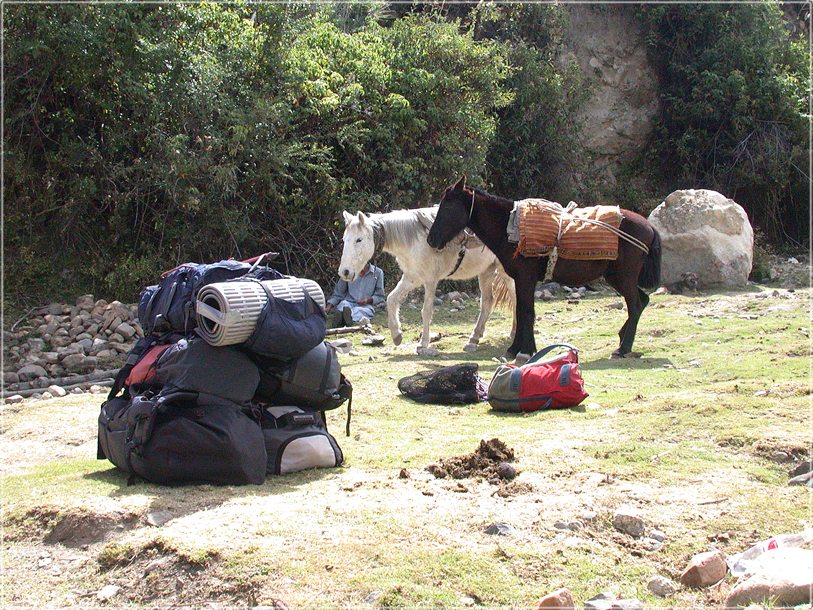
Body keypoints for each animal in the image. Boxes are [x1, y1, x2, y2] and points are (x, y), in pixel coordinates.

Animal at [339, 208, 515, 355]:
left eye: (359, 240)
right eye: (344, 239)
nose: (344, 272)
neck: (415, 241)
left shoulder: (430, 280)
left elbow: (426, 311)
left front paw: (423, 344)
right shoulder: (411, 278)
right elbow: (391, 299)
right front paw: (397, 335)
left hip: (506, 272)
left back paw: (513, 333)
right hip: (487, 271)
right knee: (488, 301)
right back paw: (474, 339)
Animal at [426, 177, 662, 362]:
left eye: (447, 206)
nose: (431, 239)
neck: (510, 228)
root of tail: (649, 227)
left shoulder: (526, 278)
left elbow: (527, 312)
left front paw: (525, 351)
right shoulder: (520, 279)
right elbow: (521, 310)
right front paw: (515, 349)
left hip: (624, 278)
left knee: (636, 304)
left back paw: (623, 348)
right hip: (617, 278)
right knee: (642, 301)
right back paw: (623, 338)